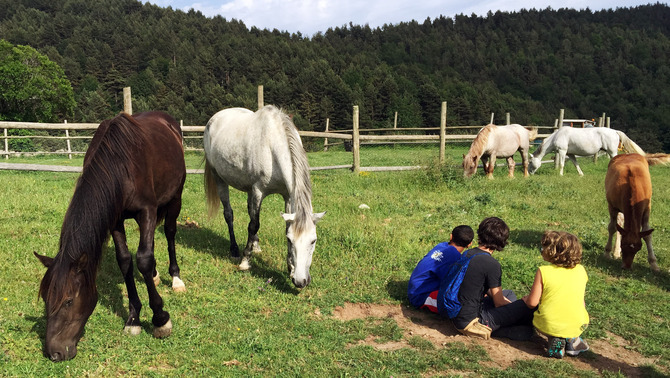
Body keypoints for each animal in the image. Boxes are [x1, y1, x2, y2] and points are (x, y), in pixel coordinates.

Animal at [35, 111, 188, 360]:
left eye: (68, 301)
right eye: (46, 299)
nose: (54, 353)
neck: (120, 165)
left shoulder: (147, 210)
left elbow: (143, 259)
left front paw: (160, 319)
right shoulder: (115, 219)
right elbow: (125, 261)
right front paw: (134, 319)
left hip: (175, 198)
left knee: (169, 233)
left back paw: (175, 278)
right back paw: (156, 275)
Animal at [203, 105, 326, 288]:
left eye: (313, 240)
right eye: (291, 241)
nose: (300, 281)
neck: (271, 147)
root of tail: (214, 118)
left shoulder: (287, 196)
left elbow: (280, 225)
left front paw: (290, 267)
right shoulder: (258, 191)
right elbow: (253, 225)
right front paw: (245, 261)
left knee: (249, 211)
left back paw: (255, 245)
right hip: (219, 178)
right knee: (229, 214)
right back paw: (235, 249)